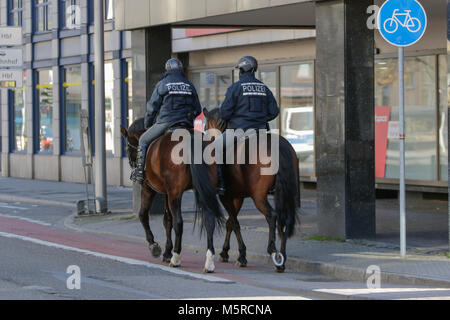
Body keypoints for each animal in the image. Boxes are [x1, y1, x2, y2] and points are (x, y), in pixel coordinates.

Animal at [120, 119, 224, 274]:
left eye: (127, 146)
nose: (132, 165)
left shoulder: (149, 189)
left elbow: (143, 215)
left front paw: (155, 246)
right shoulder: (167, 193)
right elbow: (167, 220)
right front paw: (167, 252)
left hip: (175, 194)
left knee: (179, 222)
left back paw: (176, 258)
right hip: (201, 191)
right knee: (208, 221)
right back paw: (209, 261)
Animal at [203, 108, 300, 272]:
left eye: (204, 127)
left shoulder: (226, 197)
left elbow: (234, 223)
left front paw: (241, 256)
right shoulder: (238, 197)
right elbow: (230, 222)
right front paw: (225, 252)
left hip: (258, 196)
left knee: (271, 215)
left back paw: (273, 251)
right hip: (286, 194)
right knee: (284, 218)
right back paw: (282, 258)